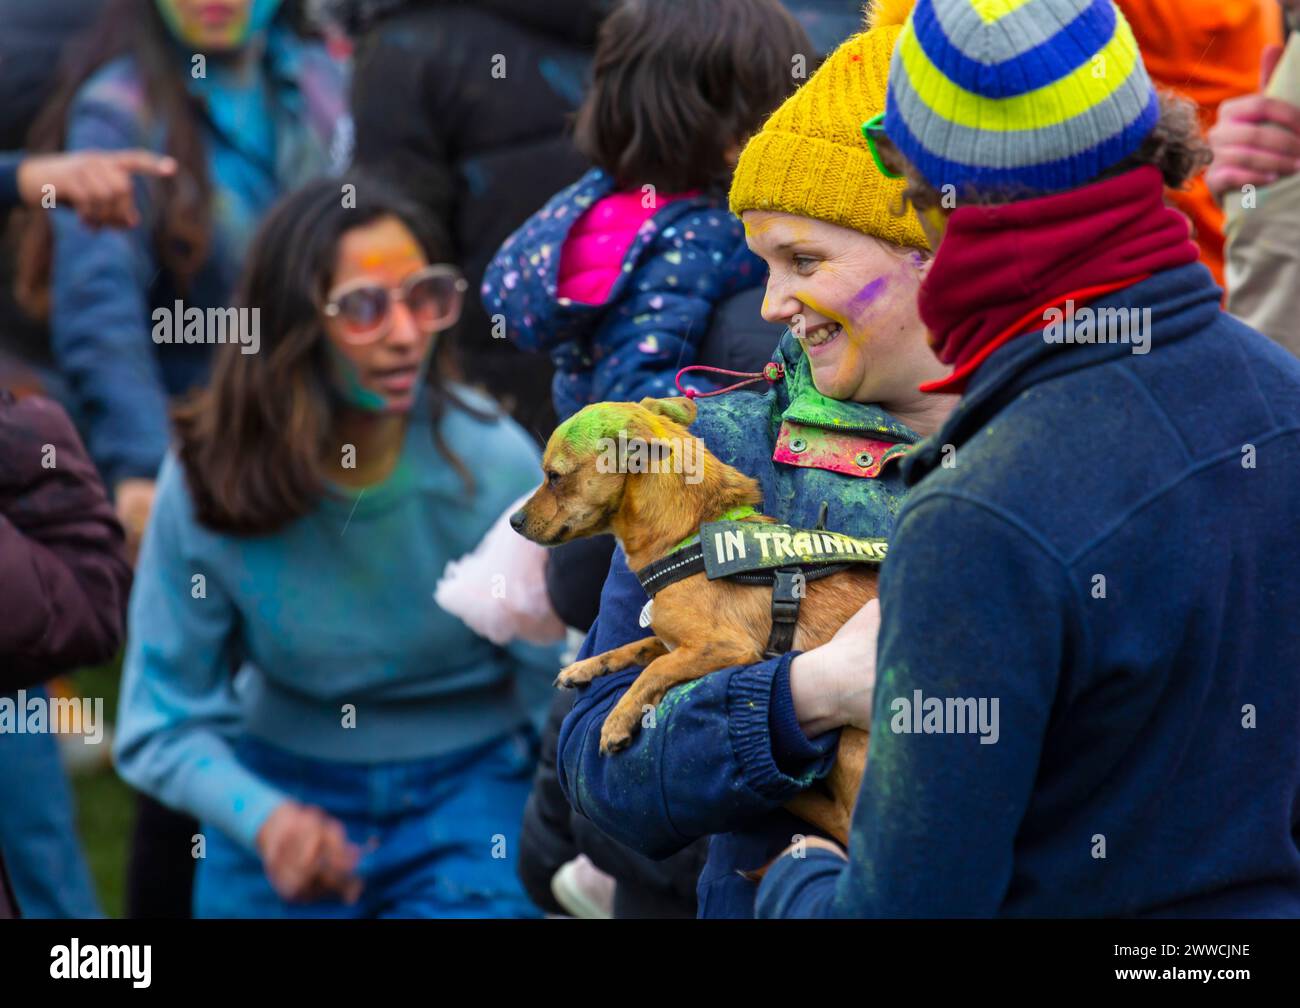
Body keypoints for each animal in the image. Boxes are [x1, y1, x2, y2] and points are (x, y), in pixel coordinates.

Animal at [509, 395, 873, 842]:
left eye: (554, 477)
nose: (513, 521)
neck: (688, 538)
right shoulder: (675, 639)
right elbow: (643, 645)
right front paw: (587, 666)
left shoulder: (727, 647)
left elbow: (657, 667)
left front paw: (618, 719)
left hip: (853, 740)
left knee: (841, 819)